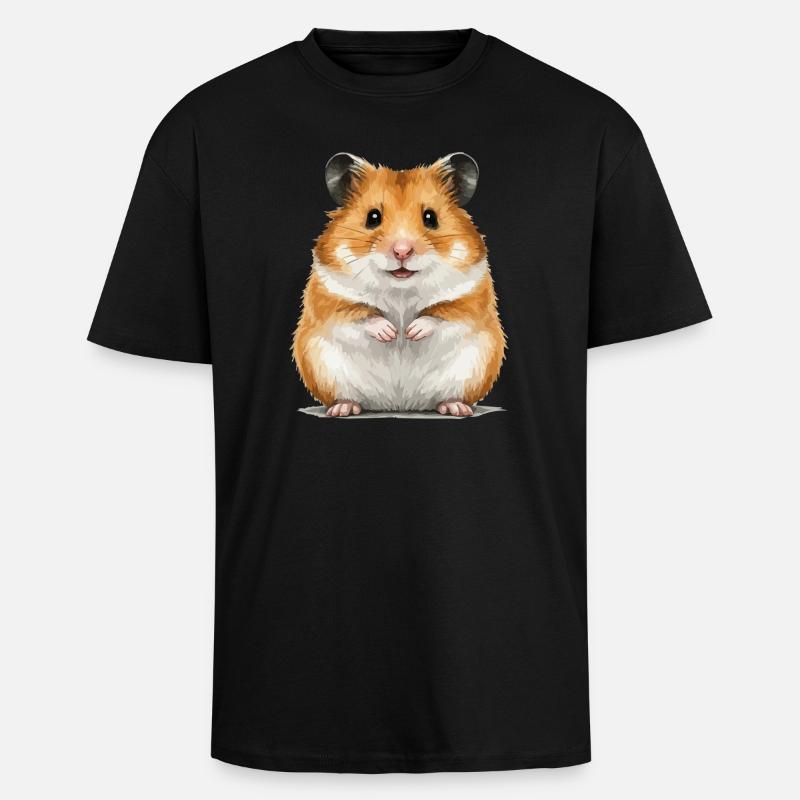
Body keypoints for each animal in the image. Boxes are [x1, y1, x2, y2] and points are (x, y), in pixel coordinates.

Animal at [292, 152, 506, 417]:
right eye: (373, 217)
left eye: (430, 218)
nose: (402, 251)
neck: (401, 289)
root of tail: (399, 404)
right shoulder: (330, 296)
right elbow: (359, 314)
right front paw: (391, 333)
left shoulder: (470, 297)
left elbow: (442, 313)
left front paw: (411, 332)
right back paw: (343, 409)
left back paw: (456, 407)